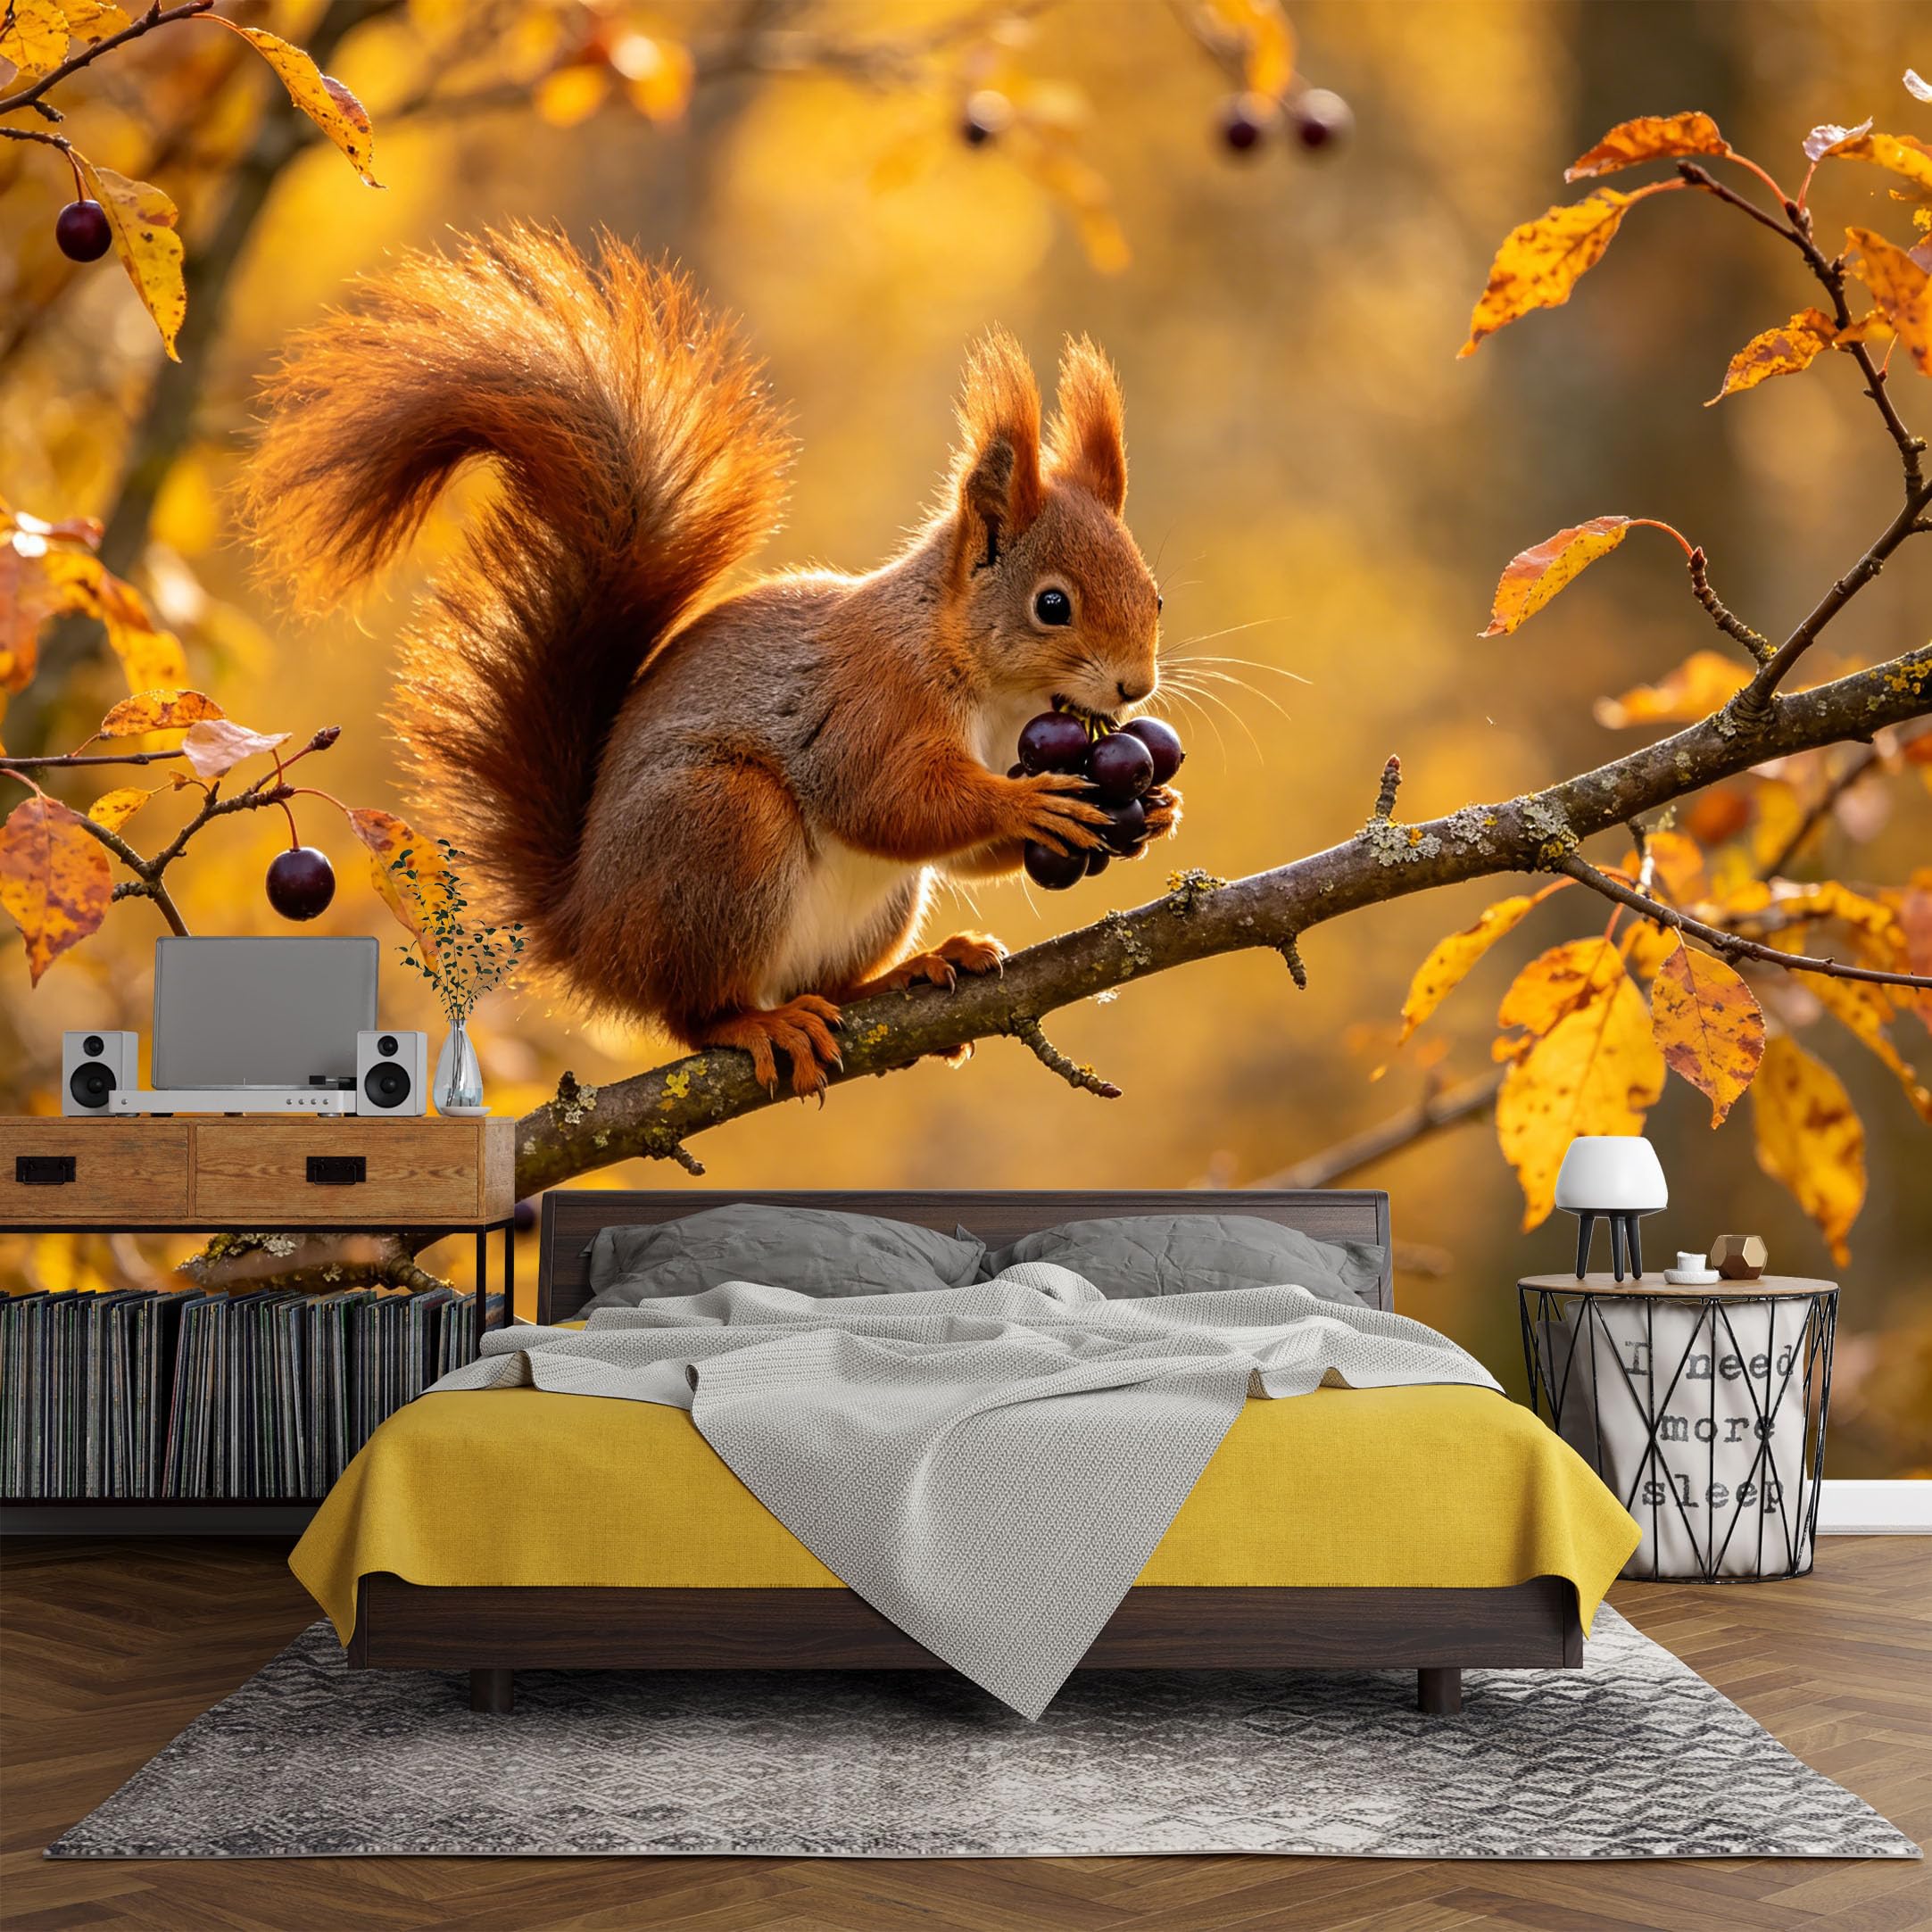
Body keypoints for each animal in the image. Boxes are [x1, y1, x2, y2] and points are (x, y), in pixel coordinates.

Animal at [244, 227, 1176, 1095]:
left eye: (1156, 596)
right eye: (1051, 605)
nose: (1135, 687)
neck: (988, 687)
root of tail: (587, 931)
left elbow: (951, 852)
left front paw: (1152, 808)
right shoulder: (875, 695)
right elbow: (886, 800)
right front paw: (1029, 805)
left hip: (869, 903)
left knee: (828, 978)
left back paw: (906, 971)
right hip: (722, 825)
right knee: (693, 1013)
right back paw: (759, 1024)